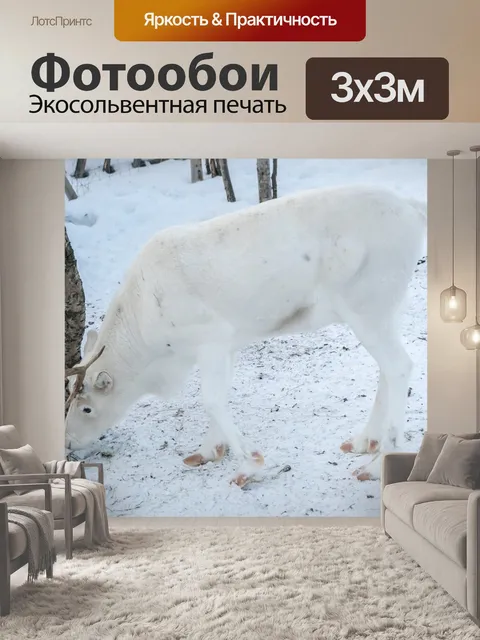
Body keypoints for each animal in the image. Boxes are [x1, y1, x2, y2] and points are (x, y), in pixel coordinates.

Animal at [65, 184, 426, 486]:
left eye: (87, 408)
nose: (69, 441)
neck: (150, 350)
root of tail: (412, 207)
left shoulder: (210, 339)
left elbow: (211, 399)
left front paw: (251, 465)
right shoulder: (229, 345)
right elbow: (221, 395)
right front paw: (209, 451)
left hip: (365, 307)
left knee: (399, 366)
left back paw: (376, 464)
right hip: (385, 309)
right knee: (386, 369)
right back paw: (365, 441)